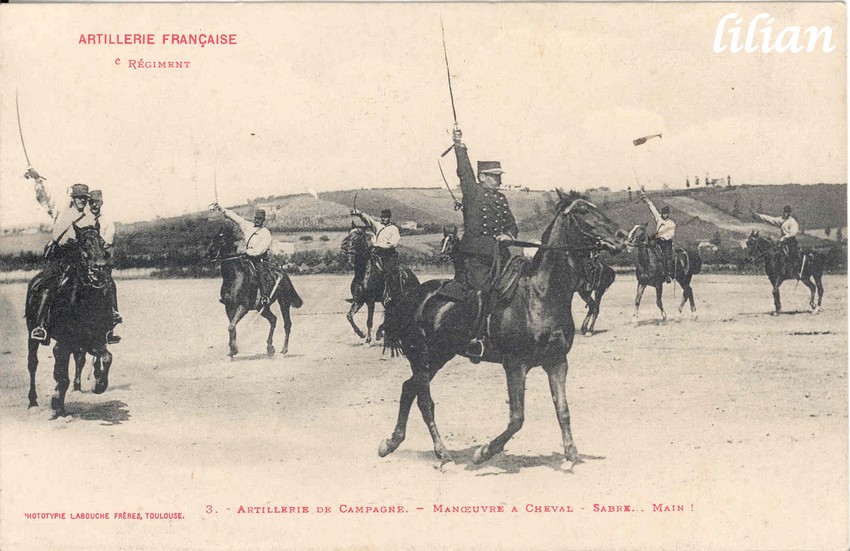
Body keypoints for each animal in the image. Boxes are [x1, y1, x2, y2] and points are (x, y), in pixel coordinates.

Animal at [25, 226, 114, 416]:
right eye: (83, 244)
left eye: (103, 244)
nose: (99, 268)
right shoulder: (65, 342)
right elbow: (63, 376)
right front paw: (58, 406)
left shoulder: (93, 340)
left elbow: (106, 358)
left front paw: (99, 385)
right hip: (31, 334)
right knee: (32, 364)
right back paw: (33, 403)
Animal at [203, 226, 302, 360]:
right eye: (213, 237)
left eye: (222, 240)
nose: (208, 254)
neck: (234, 277)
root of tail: (283, 273)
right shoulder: (229, 307)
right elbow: (232, 327)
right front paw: (231, 351)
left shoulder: (243, 307)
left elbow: (231, 326)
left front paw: (233, 350)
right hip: (262, 307)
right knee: (273, 320)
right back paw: (270, 348)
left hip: (284, 303)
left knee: (287, 324)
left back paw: (284, 350)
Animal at [440, 227, 612, 338]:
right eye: (442, 240)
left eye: (451, 241)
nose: (441, 257)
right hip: (586, 291)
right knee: (593, 307)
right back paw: (585, 329)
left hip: (593, 291)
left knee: (595, 308)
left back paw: (589, 330)